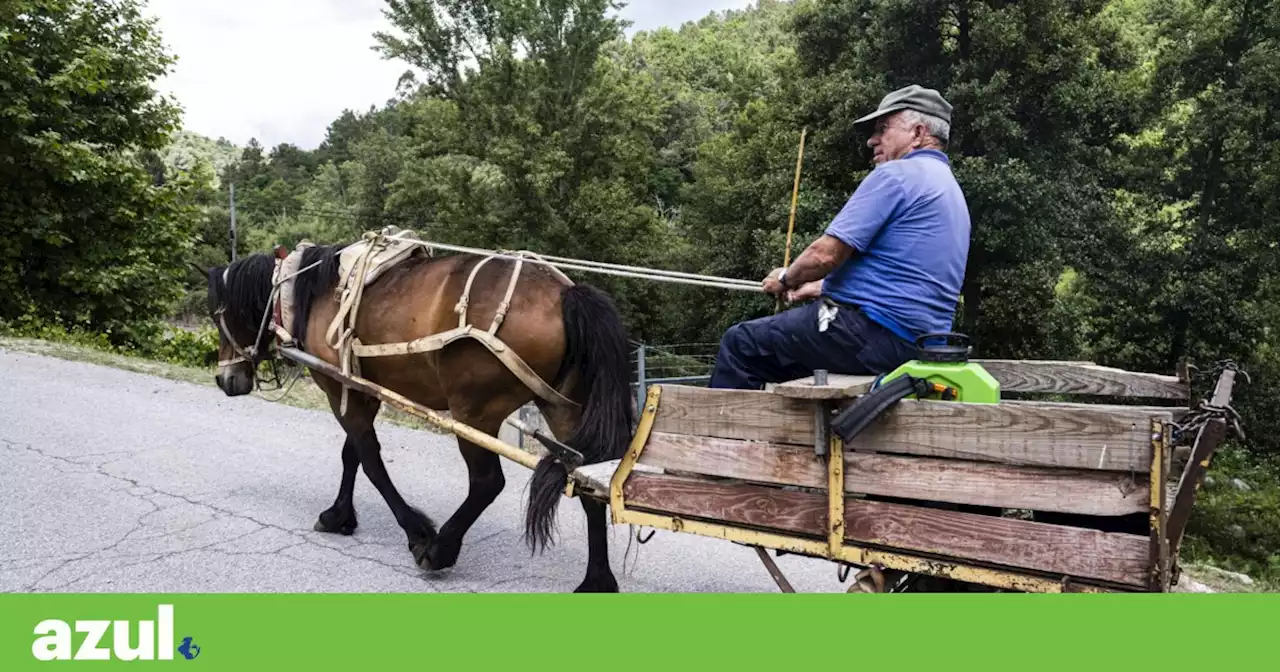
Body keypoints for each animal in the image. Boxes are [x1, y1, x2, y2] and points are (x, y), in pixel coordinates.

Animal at [199, 243, 634, 588]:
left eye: (219, 315)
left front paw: (418, 533)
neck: (308, 292)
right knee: (586, 479)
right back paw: (597, 581)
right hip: (563, 407)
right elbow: (351, 455)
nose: (225, 379)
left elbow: (370, 461)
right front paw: (339, 516)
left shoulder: (340, 388)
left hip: (473, 411)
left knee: (487, 483)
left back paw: (440, 549)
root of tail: (565, 293)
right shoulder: (359, 389)